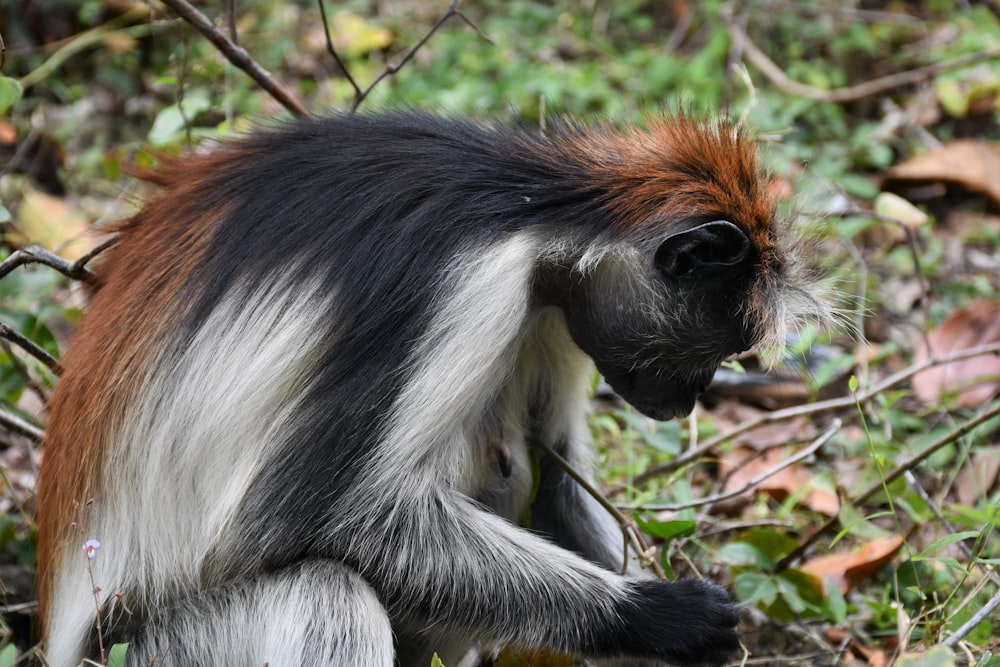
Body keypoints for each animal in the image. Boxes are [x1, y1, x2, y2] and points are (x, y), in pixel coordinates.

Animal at [35, 113, 824, 667]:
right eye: (716, 349)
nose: (686, 402)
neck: (531, 204)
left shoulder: (552, 306)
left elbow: (558, 486)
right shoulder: (465, 283)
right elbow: (315, 519)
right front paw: (657, 616)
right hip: (157, 648)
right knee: (330, 593)